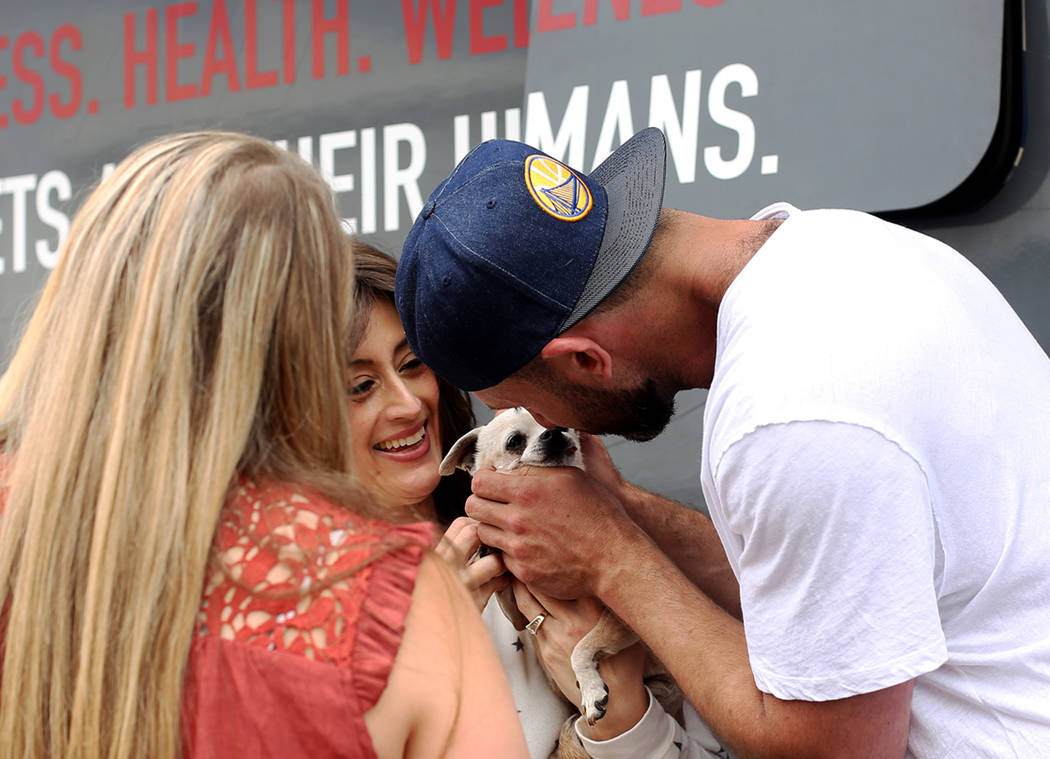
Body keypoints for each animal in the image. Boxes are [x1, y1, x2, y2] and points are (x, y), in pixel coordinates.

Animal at [436, 407, 676, 751]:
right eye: (514, 442)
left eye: (562, 423)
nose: (554, 432)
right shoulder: (515, 603)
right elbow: (510, 600)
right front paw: (488, 548)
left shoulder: (622, 622)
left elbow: (581, 648)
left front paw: (590, 690)